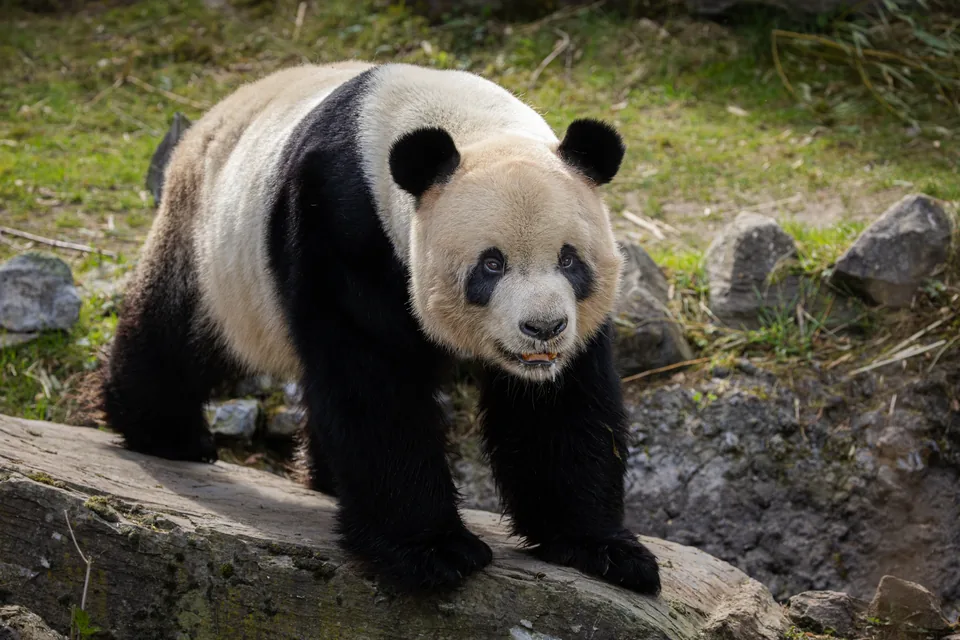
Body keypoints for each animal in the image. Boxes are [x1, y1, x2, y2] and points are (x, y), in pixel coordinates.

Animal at [101, 61, 661, 596]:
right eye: (491, 264)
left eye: (569, 260)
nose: (543, 328)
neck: (465, 123)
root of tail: (202, 125)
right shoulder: (342, 223)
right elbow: (374, 385)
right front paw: (432, 552)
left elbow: (560, 409)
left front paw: (601, 549)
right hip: (212, 243)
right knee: (178, 330)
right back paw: (166, 433)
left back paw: (323, 477)